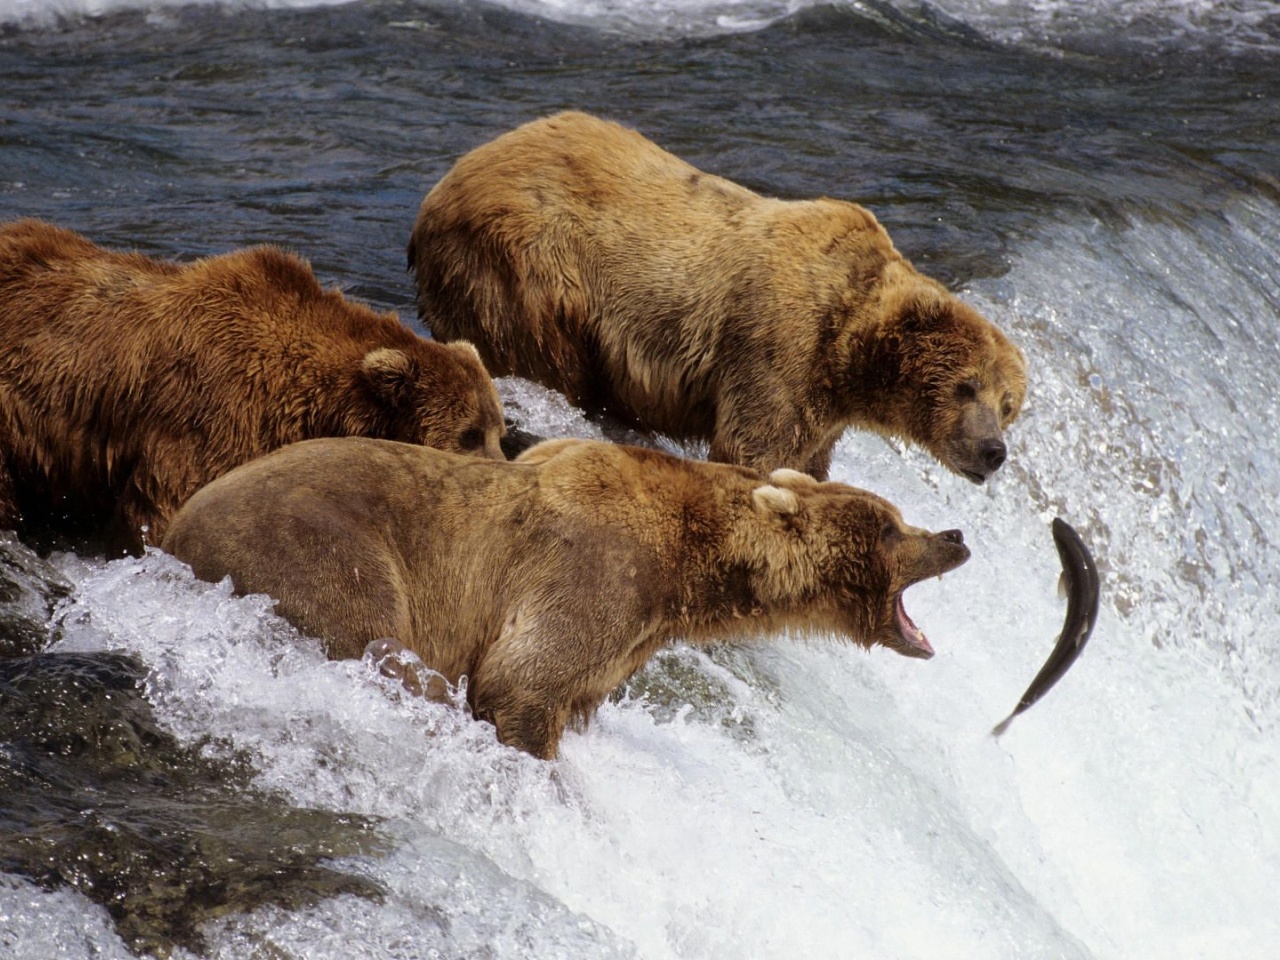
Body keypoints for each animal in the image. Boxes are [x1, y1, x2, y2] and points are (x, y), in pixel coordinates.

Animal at [167, 435, 967, 757]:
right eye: (891, 526)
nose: (955, 534)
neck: (692, 567)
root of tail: (173, 529)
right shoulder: (596, 572)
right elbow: (522, 679)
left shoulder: (630, 634)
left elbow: (574, 692)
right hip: (319, 547)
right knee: (377, 639)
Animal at [409, 112, 1029, 483]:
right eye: (966, 385)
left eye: (1007, 405)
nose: (993, 451)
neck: (848, 353)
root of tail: (445, 183)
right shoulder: (779, 348)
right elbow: (755, 451)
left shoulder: (823, 407)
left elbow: (808, 462)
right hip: (528, 267)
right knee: (542, 355)